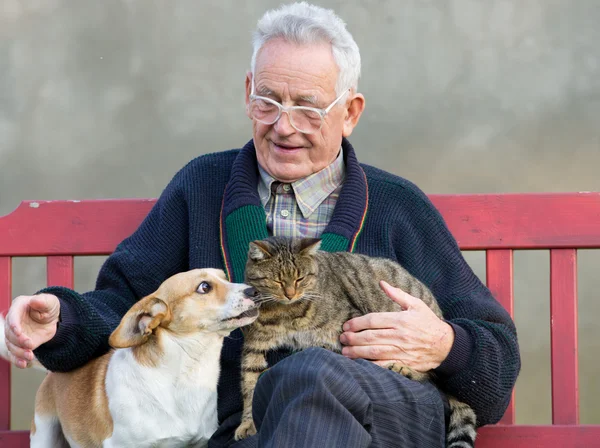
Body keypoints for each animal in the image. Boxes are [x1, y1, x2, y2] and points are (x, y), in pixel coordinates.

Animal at [237, 236, 476, 446]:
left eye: (300, 278)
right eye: (277, 280)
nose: (290, 294)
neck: (285, 312)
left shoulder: (353, 326)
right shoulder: (254, 346)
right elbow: (250, 385)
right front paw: (248, 423)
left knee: (429, 373)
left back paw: (403, 368)